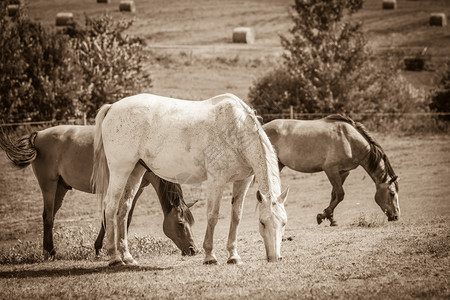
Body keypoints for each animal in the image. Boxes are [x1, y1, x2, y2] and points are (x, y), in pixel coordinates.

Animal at [0, 125, 197, 258]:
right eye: (180, 223)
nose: (193, 250)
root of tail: (39, 135)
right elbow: (109, 216)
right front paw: (102, 248)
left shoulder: (136, 189)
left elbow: (126, 218)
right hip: (48, 185)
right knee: (48, 217)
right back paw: (50, 252)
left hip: (60, 188)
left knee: (51, 216)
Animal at [92, 92, 288, 266]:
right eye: (262, 222)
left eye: (284, 223)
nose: (275, 257)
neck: (235, 129)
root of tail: (112, 107)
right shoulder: (216, 181)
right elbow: (213, 216)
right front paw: (210, 256)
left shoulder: (242, 181)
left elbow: (236, 216)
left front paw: (233, 256)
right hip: (120, 170)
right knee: (110, 207)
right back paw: (114, 258)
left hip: (135, 171)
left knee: (123, 210)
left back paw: (127, 257)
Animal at [264, 115, 400, 225]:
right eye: (392, 193)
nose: (396, 216)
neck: (349, 140)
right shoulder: (330, 170)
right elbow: (340, 194)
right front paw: (322, 216)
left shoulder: (343, 172)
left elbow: (334, 194)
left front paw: (331, 219)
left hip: (278, 165)